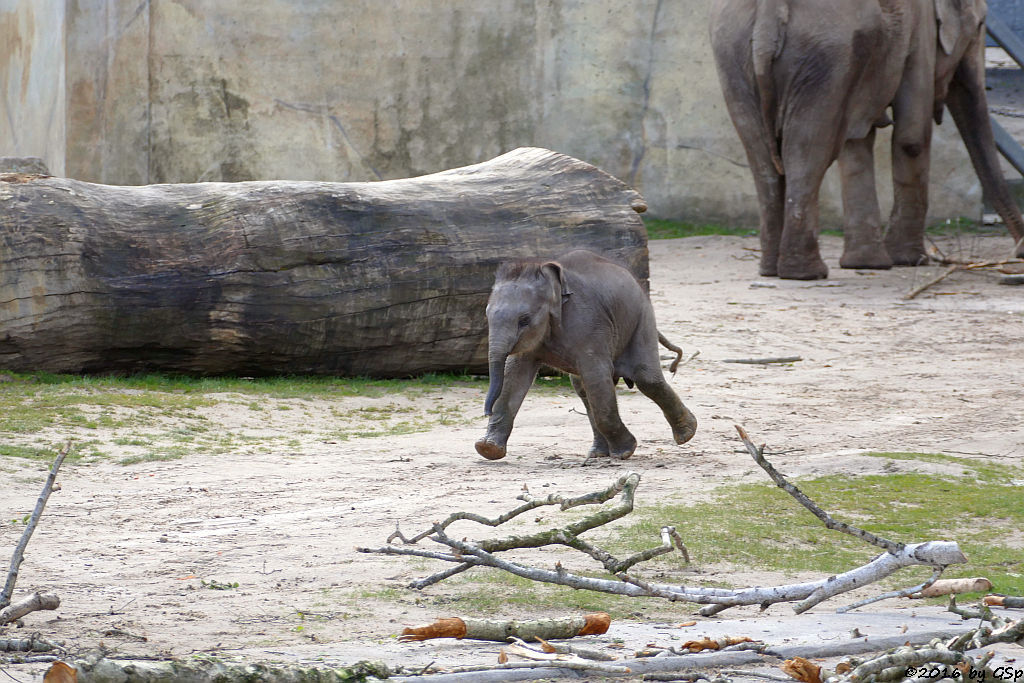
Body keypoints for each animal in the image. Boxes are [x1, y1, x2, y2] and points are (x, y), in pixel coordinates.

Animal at [477, 248, 700, 462]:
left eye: (524, 320)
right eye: (486, 315)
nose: (486, 411)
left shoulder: (588, 324)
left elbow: (596, 376)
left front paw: (625, 452)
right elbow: (514, 376)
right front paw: (487, 449)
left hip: (641, 318)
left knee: (645, 378)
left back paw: (686, 434)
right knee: (583, 389)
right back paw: (598, 454)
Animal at [712, 0, 1024, 280]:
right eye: (981, 25)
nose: (1020, 250)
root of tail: (769, 14)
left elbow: (855, 143)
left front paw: (867, 264)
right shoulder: (919, 35)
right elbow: (912, 138)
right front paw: (909, 260)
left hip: (734, 57)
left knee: (763, 158)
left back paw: (772, 270)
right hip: (824, 58)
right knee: (807, 152)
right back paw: (807, 273)